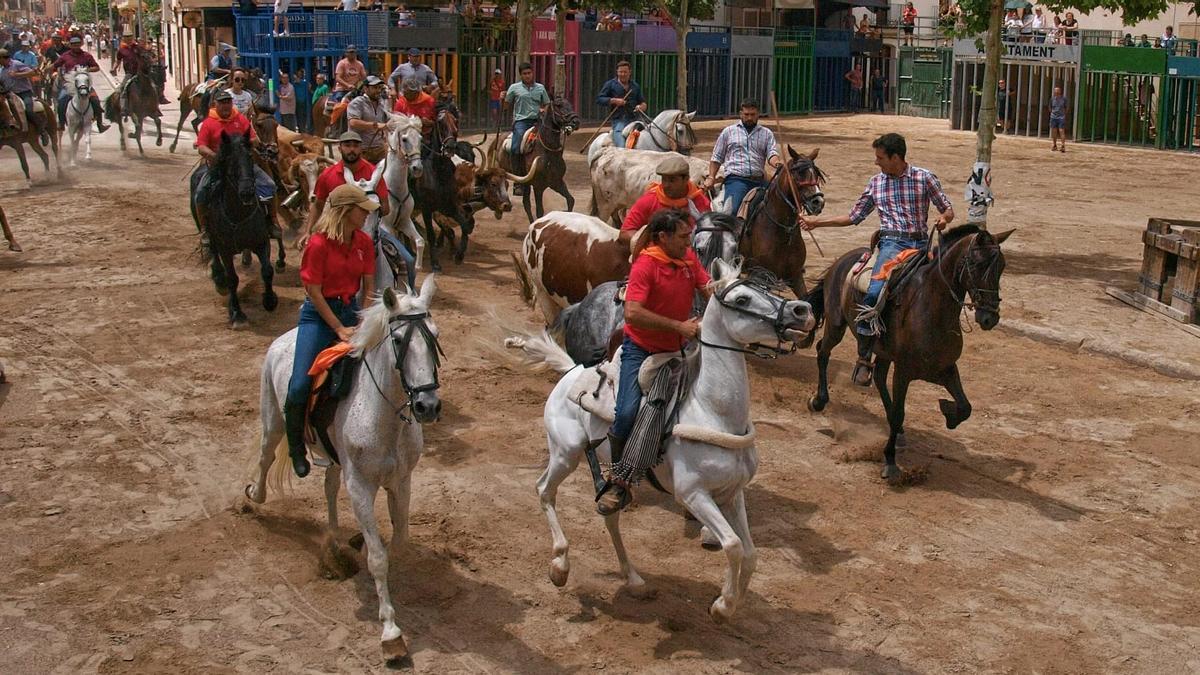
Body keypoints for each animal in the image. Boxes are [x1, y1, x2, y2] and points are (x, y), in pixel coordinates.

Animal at [246, 277, 444, 658]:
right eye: (399, 340)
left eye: (435, 336)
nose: (427, 405)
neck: (383, 415)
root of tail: (284, 338)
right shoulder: (361, 487)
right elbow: (378, 557)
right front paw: (391, 632)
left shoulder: (401, 481)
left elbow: (398, 541)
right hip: (273, 419)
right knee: (265, 457)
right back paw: (253, 498)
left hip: (335, 458)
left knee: (328, 487)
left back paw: (337, 540)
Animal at [523, 258, 816, 619]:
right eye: (743, 299)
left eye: (765, 288)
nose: (802, 310)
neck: (713, 411)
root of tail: (571, 371)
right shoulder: (693, 494)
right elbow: (733, 545)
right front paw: (722, 605)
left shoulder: (732, 493)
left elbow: (749, 553)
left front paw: (731, 601)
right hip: (565, 453)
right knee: (544, 491)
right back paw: (560, 566)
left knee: (609, 514)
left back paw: (635, 581)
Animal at [806, 224, 1012, 478]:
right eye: (976, 264)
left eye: (1002, 266)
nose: (989, 317)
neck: (932, 307)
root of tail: (842, 260)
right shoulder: (903, 371)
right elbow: (898, 412)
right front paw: (890, 462)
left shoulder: (946, 368)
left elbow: (965, 407)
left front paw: (948, 412)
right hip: (836, 324)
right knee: (823, 352)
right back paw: (818, 400)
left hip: (882, 352)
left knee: (878, 376)